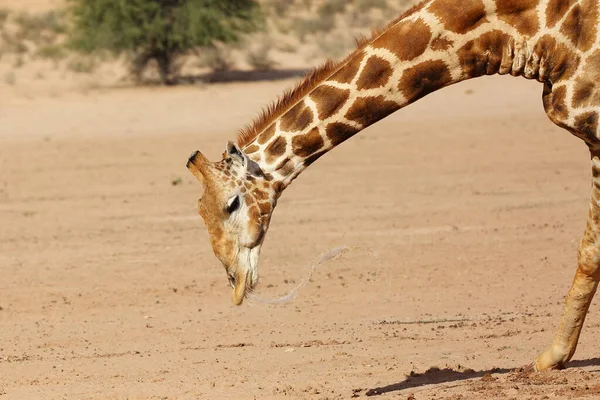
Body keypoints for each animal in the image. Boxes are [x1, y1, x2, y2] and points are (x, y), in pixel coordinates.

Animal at [189, 0, 600, 372]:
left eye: (232, 203)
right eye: (200, 213)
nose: (235, 283)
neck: (521, 35)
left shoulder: (596, 132)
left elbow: (589, 251)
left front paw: (552, 357)